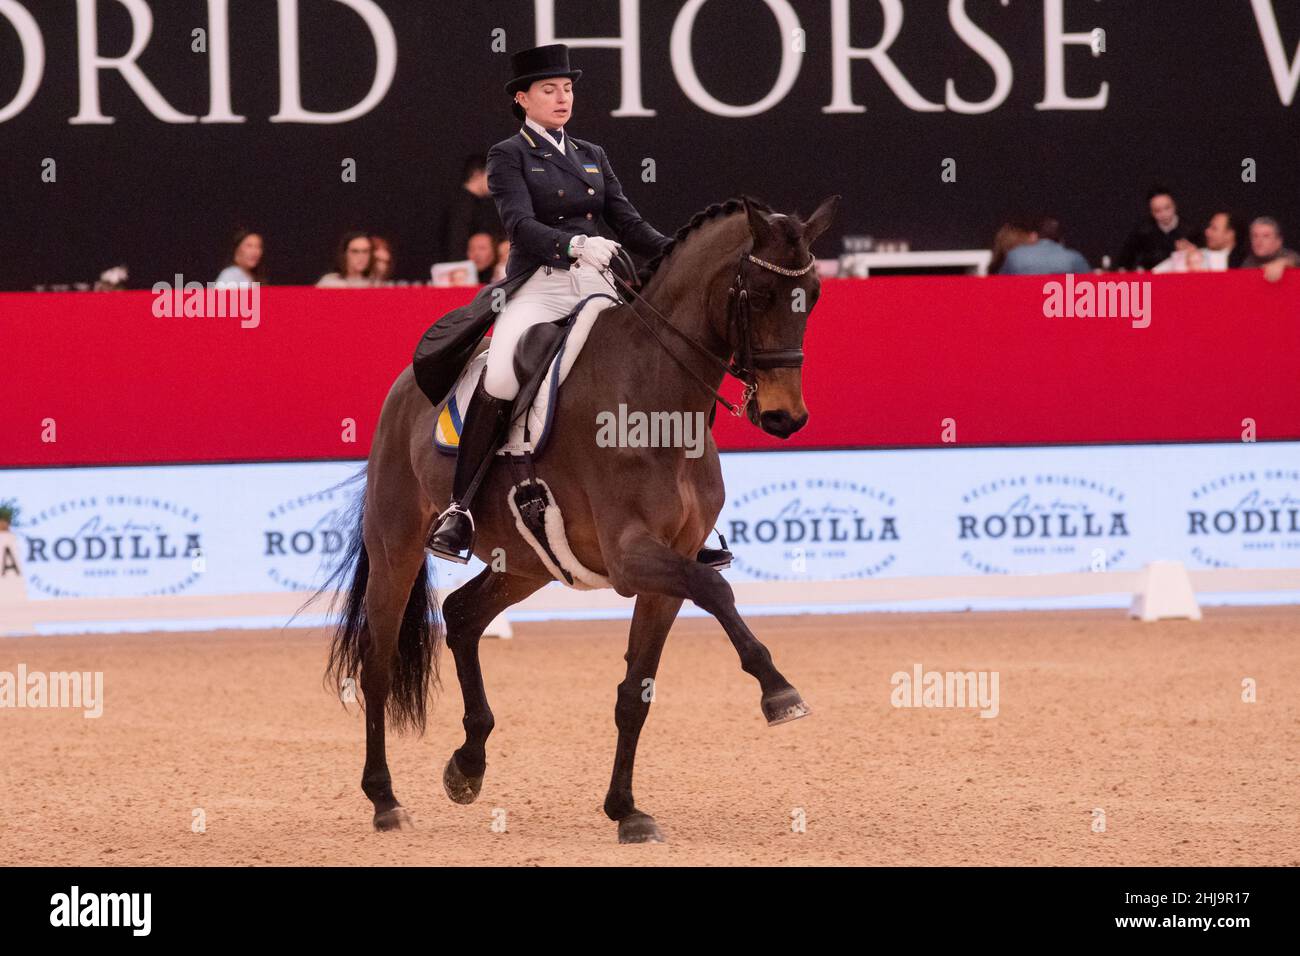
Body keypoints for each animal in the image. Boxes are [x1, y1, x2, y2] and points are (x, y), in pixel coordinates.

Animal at [325, 195, 842, 842]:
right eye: (759, 293)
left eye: (813, 295)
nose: (784, 417)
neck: (658, 399)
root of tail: (404, 390)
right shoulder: (630, 556)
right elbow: (715, 587)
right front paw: (778, 691)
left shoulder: (666, 568)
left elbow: (635, 693)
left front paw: (626, 811)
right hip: (396, 546)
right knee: (377, 663)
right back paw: (385, 799)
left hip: (525, 563)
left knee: (463, 616)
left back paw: (468, 765)